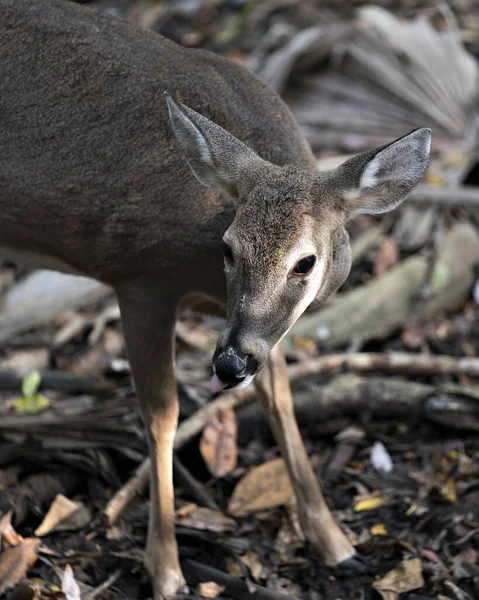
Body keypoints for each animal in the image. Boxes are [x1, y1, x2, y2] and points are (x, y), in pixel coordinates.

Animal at [0, 1, 434, 596]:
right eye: (228, 248)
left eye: (305, 262)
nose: (228, 364)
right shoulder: (139, 278)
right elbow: (163, 415)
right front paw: (166, 570)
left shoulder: (259, 331)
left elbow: (280, 399)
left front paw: (338, 545)